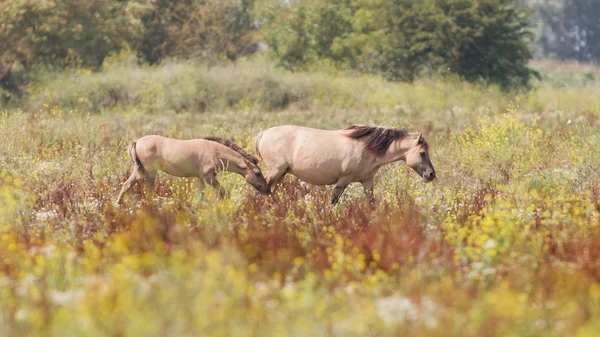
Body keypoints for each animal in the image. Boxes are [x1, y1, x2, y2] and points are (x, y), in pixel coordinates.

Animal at [115, 135, 270, 203]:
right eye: (257, 173)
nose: (267, 190)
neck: (214, 152)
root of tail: (137, 141)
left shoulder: (201, 178)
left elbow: (201, 197)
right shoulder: (209, 178)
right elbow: (223, 192)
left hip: (140, 172)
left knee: (126, 185)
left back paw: (118, 204)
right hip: (150, 173)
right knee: (148, 192)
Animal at [254, 124, 436, 203]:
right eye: (422, 153)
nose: (431, 174)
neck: (366, 148)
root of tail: (264, 133)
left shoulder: (367, 181)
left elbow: (372, 202)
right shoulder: (343, 180)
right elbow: (333, 201)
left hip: (281, 174)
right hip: (276, 172)